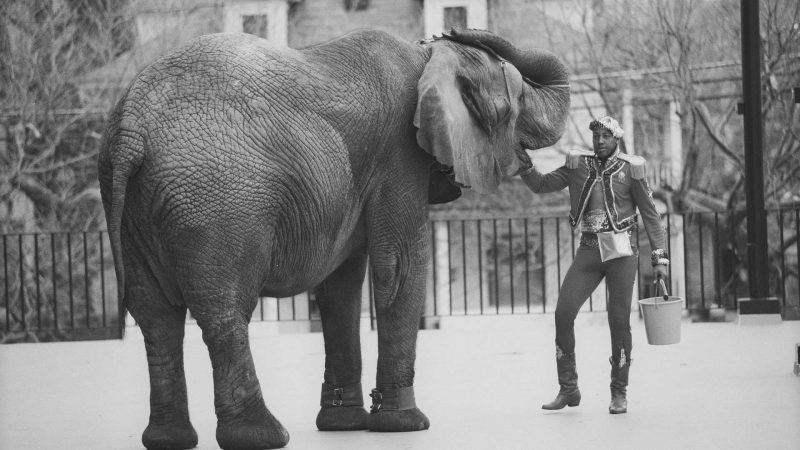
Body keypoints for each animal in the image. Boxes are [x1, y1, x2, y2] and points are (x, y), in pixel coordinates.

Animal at [98, 27, 570, 450]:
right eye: (514, 104)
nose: (449, 30)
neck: (427, 62)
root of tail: (132, 124)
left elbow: (340, 287)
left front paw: (345, 424)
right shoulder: (399, 155)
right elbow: (399, 266)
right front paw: (405, 425)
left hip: (134, 206)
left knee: (155, 319)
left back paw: (169, 440)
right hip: (218, 200)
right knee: (223, 311)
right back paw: (262, 437)